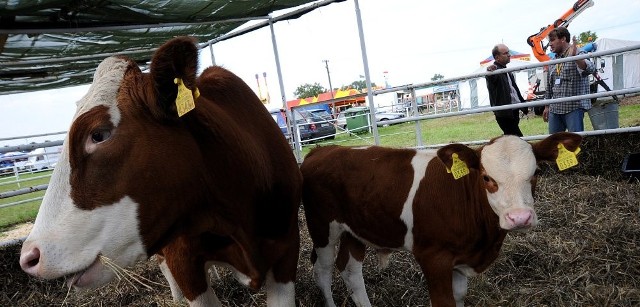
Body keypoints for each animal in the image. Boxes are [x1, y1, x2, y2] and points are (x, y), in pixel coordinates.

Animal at [300, 133, 580, 307]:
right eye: (487, 177)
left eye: (536, 172)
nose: (520, 217)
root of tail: (321, 150)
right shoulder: (433, 257)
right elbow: (443, 301)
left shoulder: (460, 261)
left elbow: (459, 297)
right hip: (322, 228)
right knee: (322, 271)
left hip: (356, 229)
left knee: (350, 270)